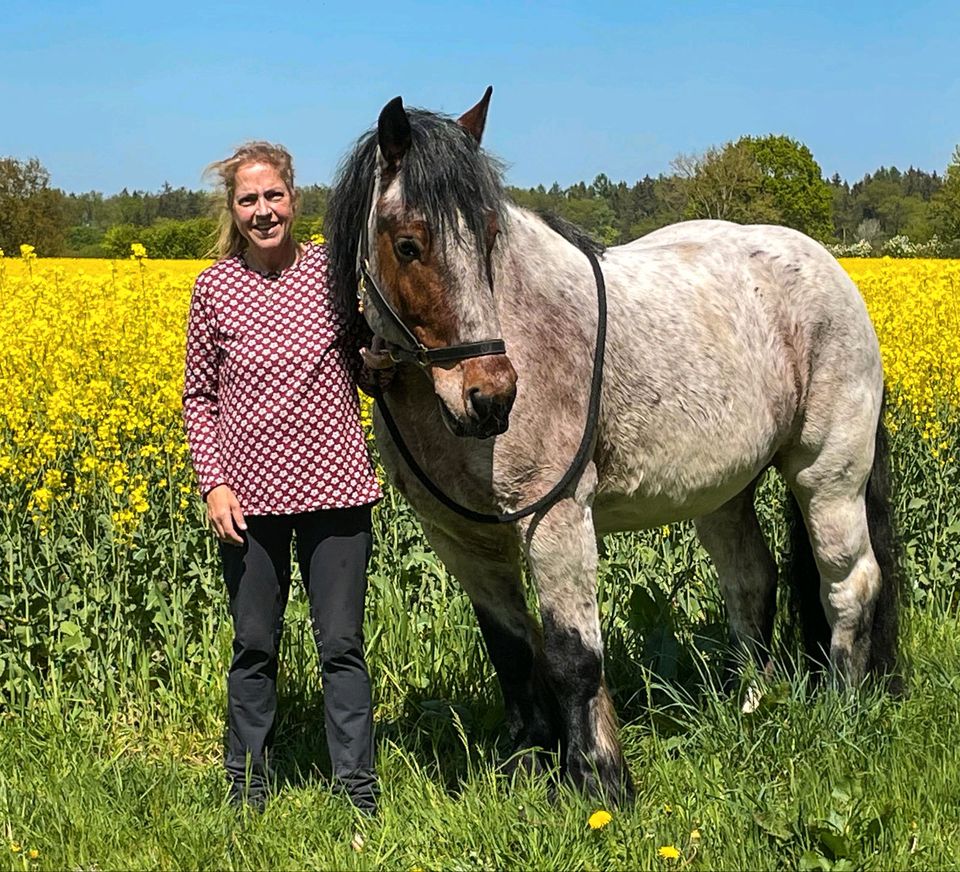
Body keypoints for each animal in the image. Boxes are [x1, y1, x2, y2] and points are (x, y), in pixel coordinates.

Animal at [326, 88, 904, 804]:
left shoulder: (556, 518)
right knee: (751, 581)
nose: (491, 398)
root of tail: (832, 270)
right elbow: (513, 652)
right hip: (724, 494)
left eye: (489, 237)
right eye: (408, 244)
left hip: (828, 477)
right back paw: (752, 704)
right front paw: (531, 763)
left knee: (850, 583)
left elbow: (574, 656)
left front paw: (601, 782)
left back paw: (843, 706)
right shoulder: (462, 540)